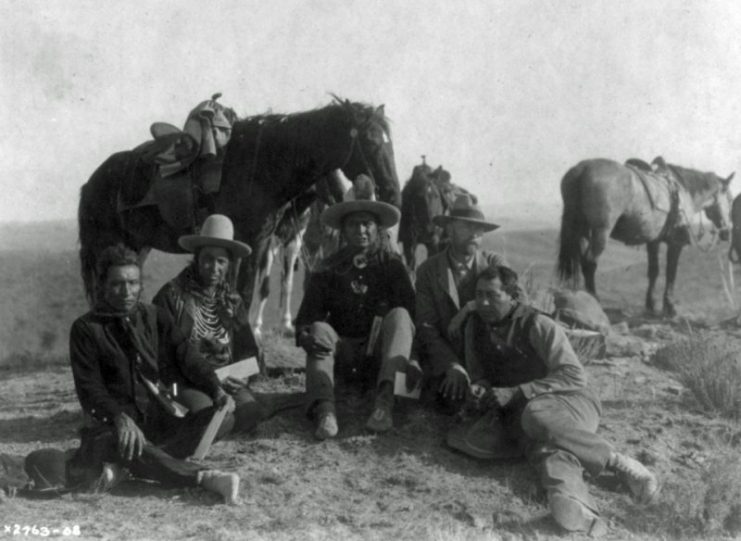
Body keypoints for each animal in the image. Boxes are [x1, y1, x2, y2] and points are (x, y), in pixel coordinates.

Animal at [79, 96, 398, 308]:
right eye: (371, 142)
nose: (392, 192)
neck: (262, 165)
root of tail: (91, 182)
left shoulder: (257, 243)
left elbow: (243, 294)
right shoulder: (241, 240)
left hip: (137, 246)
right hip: (105, 244)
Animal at [556, 156, 732, 316]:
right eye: (730, 199)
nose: (727, 232)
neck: (682, 192)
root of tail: (582, 169)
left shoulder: (653, 241)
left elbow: (653, 271)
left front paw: (651, 304)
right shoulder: (675, 243)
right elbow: (671, 272)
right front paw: (669, 306)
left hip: (582, 231)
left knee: (580, 259)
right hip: (601, 231)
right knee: (590, 262)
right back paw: (595, 300)